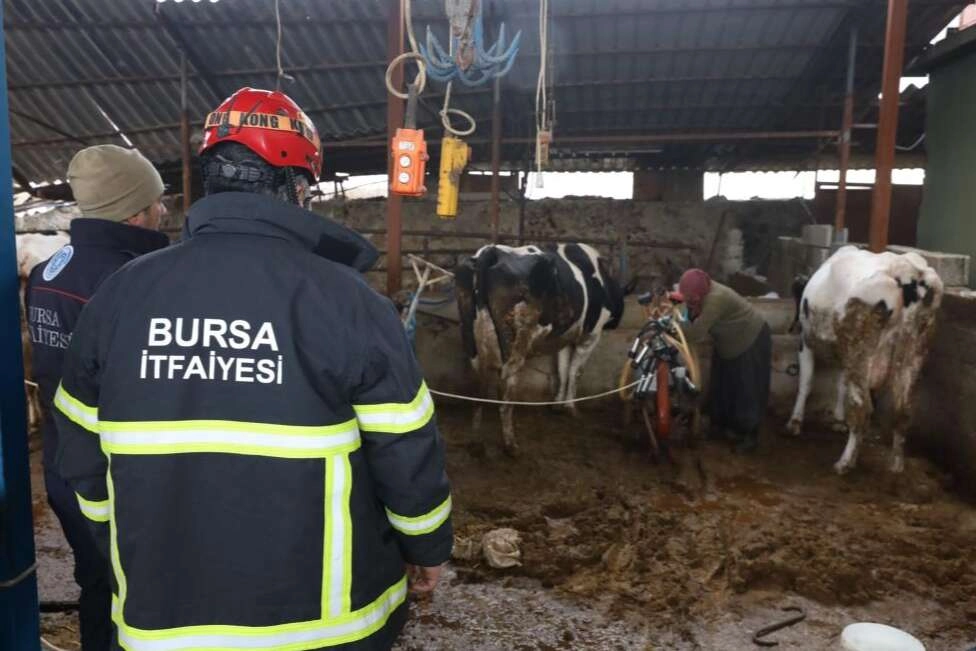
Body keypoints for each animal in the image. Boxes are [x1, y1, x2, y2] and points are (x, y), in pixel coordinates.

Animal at [456, 242, 624, 456]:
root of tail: (492, 251)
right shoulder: (590, 335)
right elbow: (575, 371)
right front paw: (570, 407)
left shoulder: (563, 338)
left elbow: (562, 369)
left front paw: (558, 404)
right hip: (516, 344)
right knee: (505, 391)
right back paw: (510, 445)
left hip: (473, 342)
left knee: (480, 386)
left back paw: (476, 443)